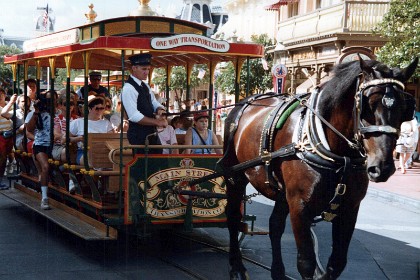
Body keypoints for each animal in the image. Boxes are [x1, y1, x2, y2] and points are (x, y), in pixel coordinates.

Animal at [221, 58, 418, 278]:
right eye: (368, 104)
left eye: (405, 107)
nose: (383, 167)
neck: (338, 156)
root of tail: (244, 103)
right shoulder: (300, 207)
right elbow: (306, 262)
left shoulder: (349, 208)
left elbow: (337, 263)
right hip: (235, 177)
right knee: (233, 217)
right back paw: (236, 266)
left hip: (282, 193)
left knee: (275, 225)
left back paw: (277, 272)